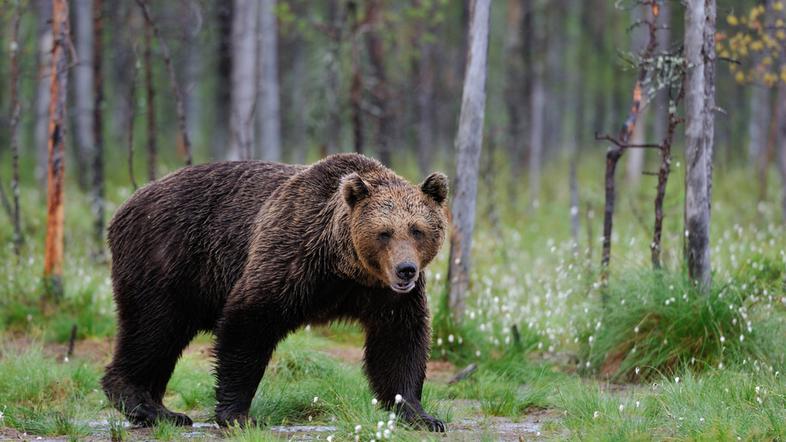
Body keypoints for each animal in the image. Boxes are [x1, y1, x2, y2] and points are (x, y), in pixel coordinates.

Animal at [99, 153, 448, 432]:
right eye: (383, 233)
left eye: (417, 230)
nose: (405, 270)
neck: (344, 267)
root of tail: (125, 205)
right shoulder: (292, 256)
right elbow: (249, 321)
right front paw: (238, 414)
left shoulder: (383, 294)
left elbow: (398, 341)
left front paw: (421, 415)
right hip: (166, 260)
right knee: (153, 329)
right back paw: (146, 405)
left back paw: (161, 410)